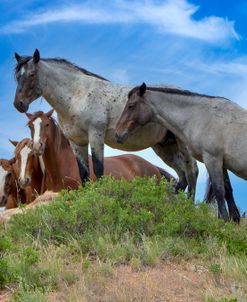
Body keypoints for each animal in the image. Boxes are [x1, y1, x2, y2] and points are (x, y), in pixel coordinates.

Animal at [115, 82, 241, 222]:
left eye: (131, 105)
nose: (118, 133)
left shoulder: (212, 158)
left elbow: (219, 190)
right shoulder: (218, 160)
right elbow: (226, 187)